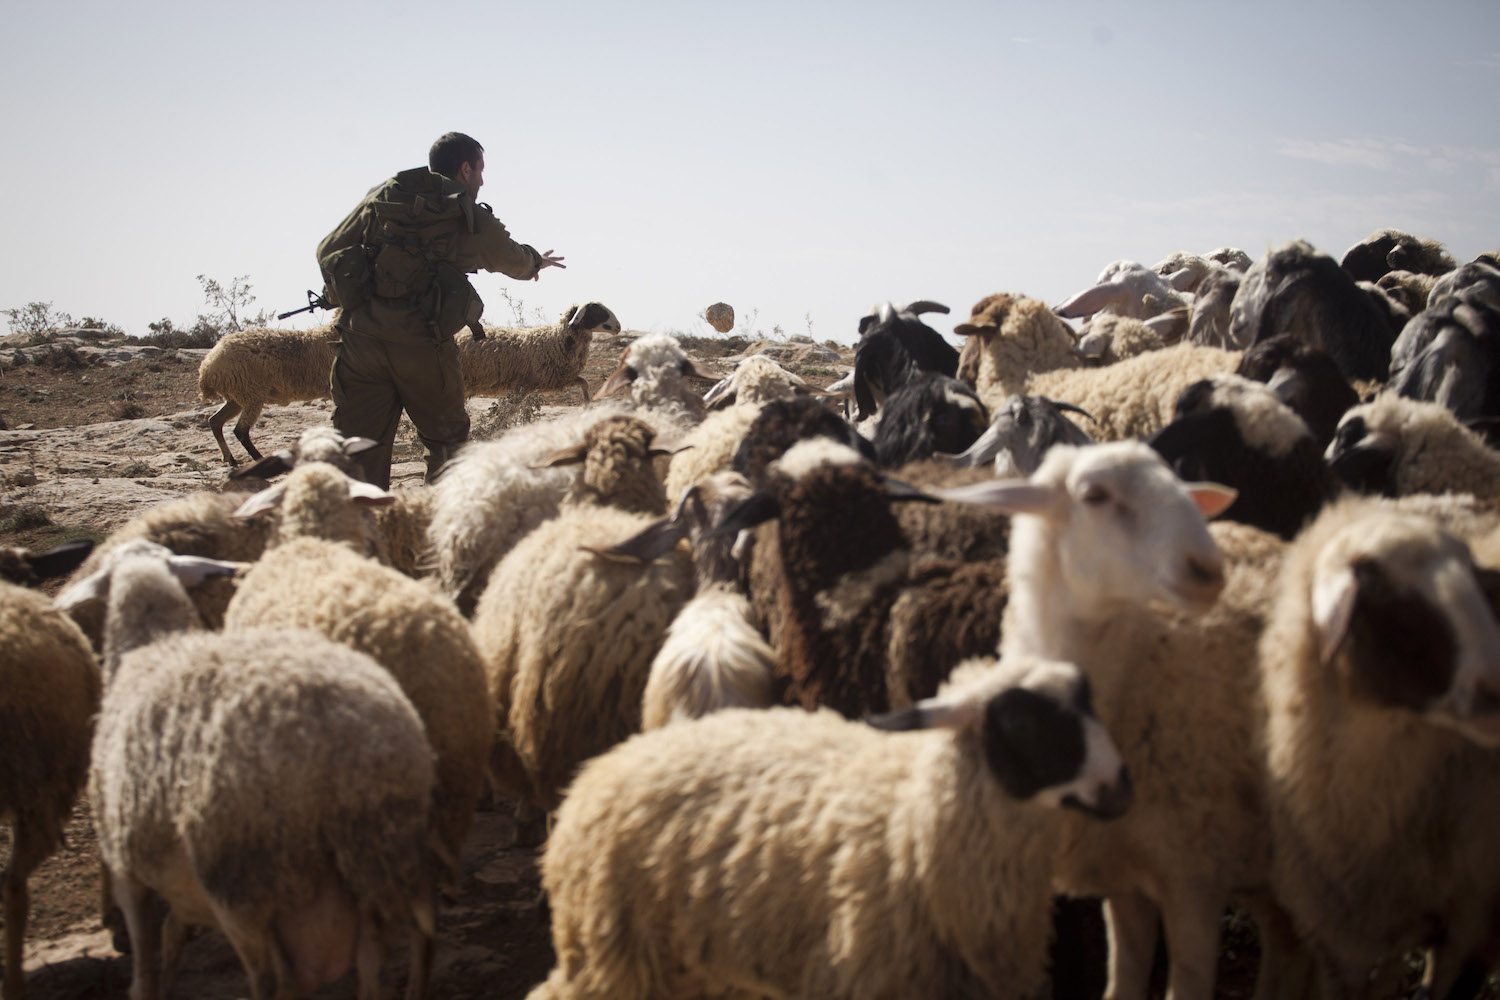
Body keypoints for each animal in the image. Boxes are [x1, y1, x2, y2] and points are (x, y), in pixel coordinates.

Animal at [58, 542, 435, 1000]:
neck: (151, 643)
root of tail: (344, 748)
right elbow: (173, 933)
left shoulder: (125, 867)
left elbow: (146, 956)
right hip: (375, 871)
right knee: (383, 965)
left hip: (244, 886)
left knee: (273, 980)